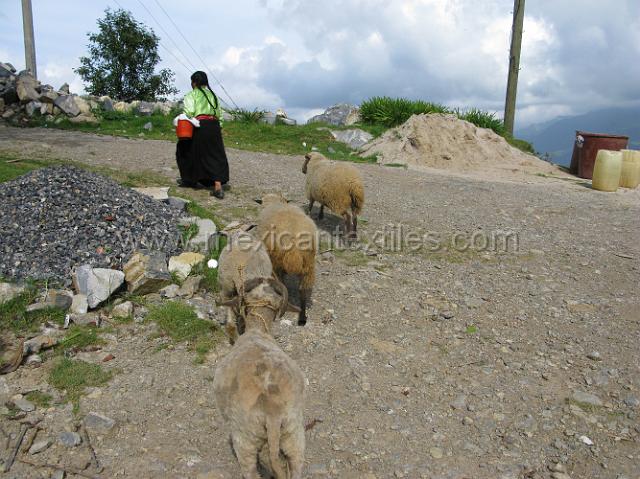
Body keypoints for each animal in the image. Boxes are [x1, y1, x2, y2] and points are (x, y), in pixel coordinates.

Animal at [254, 194, 316, 326]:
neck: (276, 202)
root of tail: (294, 243)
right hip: (309, 264)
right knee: (303, 290)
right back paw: (303, 314)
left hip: (277, 262)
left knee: (283, 285)